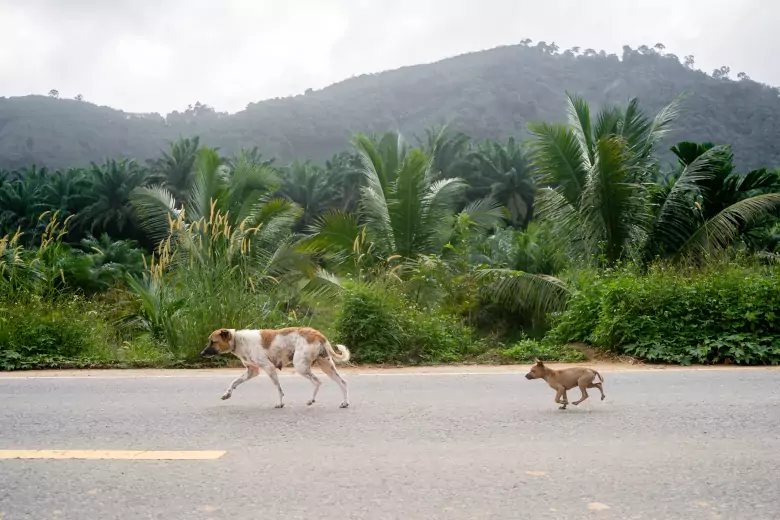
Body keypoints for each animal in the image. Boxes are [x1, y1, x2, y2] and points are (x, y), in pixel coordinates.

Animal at [201, 328, 350, 408]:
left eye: (213, 342)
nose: (201, 353)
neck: (237, 340)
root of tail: (318, 334)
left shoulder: (269, 368)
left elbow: (279, 390)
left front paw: (280, 404)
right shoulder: (252, 372)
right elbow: (234, 382)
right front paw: (227, 394)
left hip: (301, 366)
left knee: (317, 382)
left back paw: (311, 400)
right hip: (327, 367)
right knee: (343, 382)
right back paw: (344, 402)